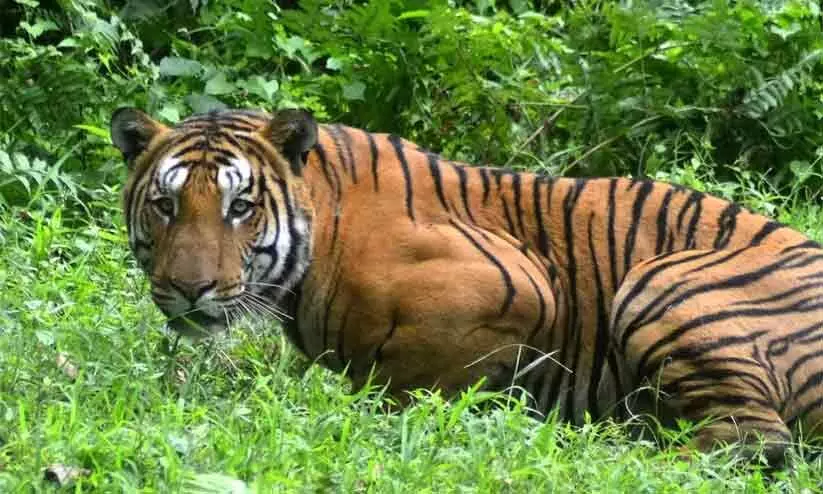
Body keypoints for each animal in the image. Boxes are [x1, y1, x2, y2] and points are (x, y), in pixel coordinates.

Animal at [110, 106, 823, 465]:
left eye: (240, 207)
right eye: (167, 206)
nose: (191, 288)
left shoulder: (517, 286)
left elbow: (411, 383)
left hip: (662, 281)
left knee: (754, 441)